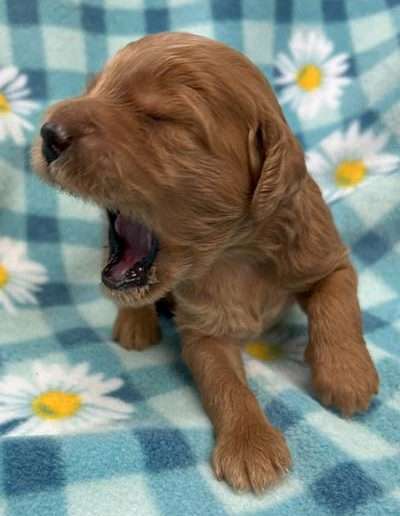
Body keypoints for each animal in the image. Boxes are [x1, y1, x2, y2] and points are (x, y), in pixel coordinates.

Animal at [32, 31, 378, 492]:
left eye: (158, 118)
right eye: (93, 91)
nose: (48, 133)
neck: (235, 254)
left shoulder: (325, 256)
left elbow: (338, 305)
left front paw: (347, 377)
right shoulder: (203, 329)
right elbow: (225, 383)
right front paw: (251, 446)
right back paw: (135, 325)